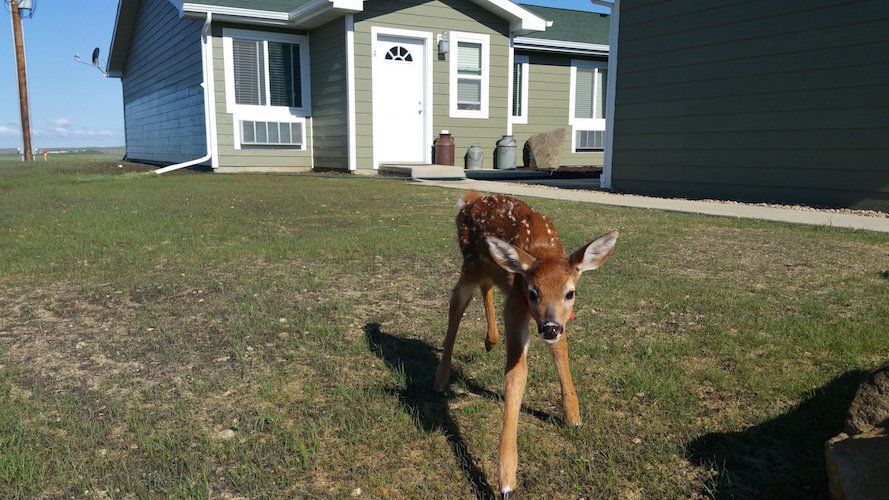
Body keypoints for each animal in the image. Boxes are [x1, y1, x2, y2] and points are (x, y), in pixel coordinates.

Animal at [433, 190, 618, 498]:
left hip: (489, 271)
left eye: (570, 293)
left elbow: (561, 351)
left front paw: (573, 416)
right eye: (533, 292)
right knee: (456, 303)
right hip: (470, 264)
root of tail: (469, 199)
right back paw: (441, 376)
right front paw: (506, 480)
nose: (550, 327)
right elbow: (516, 375)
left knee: (486, 287)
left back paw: (490, 340)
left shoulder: (556, 318)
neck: (542, 249)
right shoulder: (517, 305)